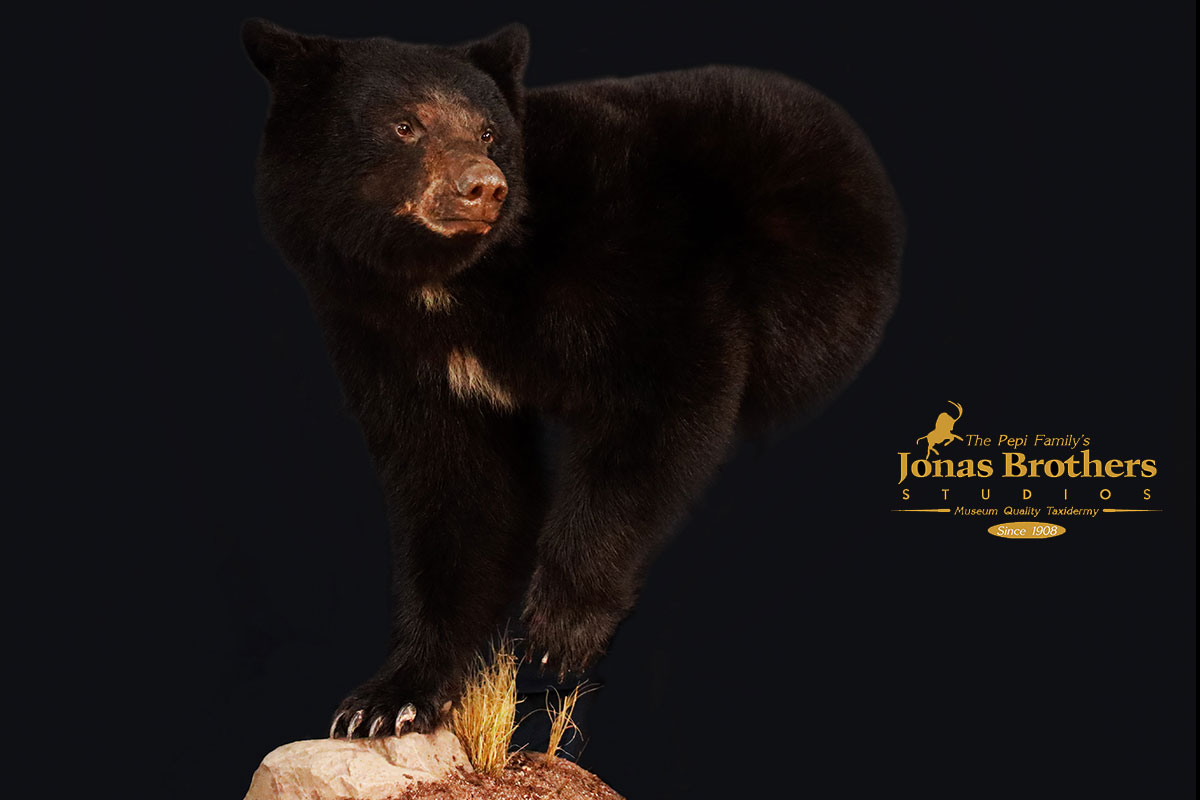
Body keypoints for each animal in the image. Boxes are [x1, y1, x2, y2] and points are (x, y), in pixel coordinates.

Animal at [242, 19, 903, 738]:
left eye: (489, 132)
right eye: (405, 125)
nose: (483, 187)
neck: (452, 285)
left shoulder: (636, 256)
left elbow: (666, 398)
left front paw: (558, 629)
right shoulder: (385, 343)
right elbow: (454, 480)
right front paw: (387, 700)